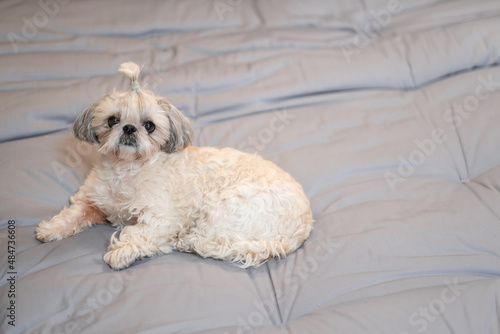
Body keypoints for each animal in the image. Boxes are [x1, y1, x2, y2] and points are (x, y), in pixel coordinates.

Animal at [35, 61, 314, 270]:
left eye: (149, 126)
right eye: (112, 120)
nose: (129, 128)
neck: (127, 169)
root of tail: (300, 228)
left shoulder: (162, 218)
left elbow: (140, 234)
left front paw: (122, 251)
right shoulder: (92, 199)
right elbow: (73, 214)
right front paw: (50, 228)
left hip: (225, 210)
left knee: (214, 242)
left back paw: (186, 242)